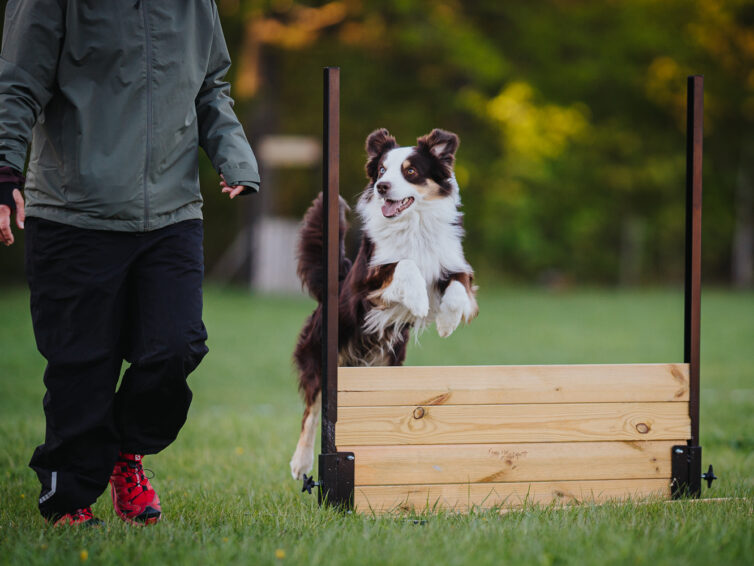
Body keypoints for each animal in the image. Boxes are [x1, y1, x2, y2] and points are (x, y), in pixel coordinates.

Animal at [288, 127, 476, 480]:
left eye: (410, 171)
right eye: (381, 171)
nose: (382, 187)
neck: (414, 224)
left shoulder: (452, 264)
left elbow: (458, 285)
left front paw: (447, 321)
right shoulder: (367, 284)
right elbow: (405, 264)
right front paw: (417, 300)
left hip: (387, 361)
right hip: (322, 355)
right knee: (312, 409)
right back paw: (301, 462)